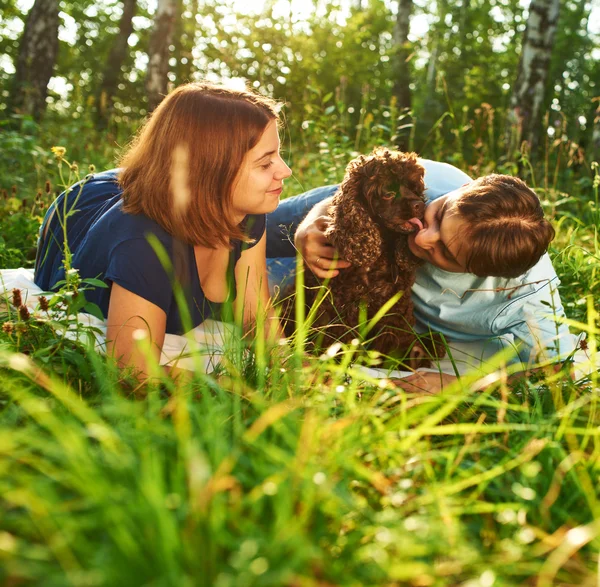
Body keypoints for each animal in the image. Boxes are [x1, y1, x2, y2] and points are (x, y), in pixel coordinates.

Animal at [282, 147, 446, 368]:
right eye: (388, 193)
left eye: (414, 187)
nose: (419, 205)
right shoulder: (336, 307)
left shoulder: (394, 306)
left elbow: (394, 336)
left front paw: (399, 357)